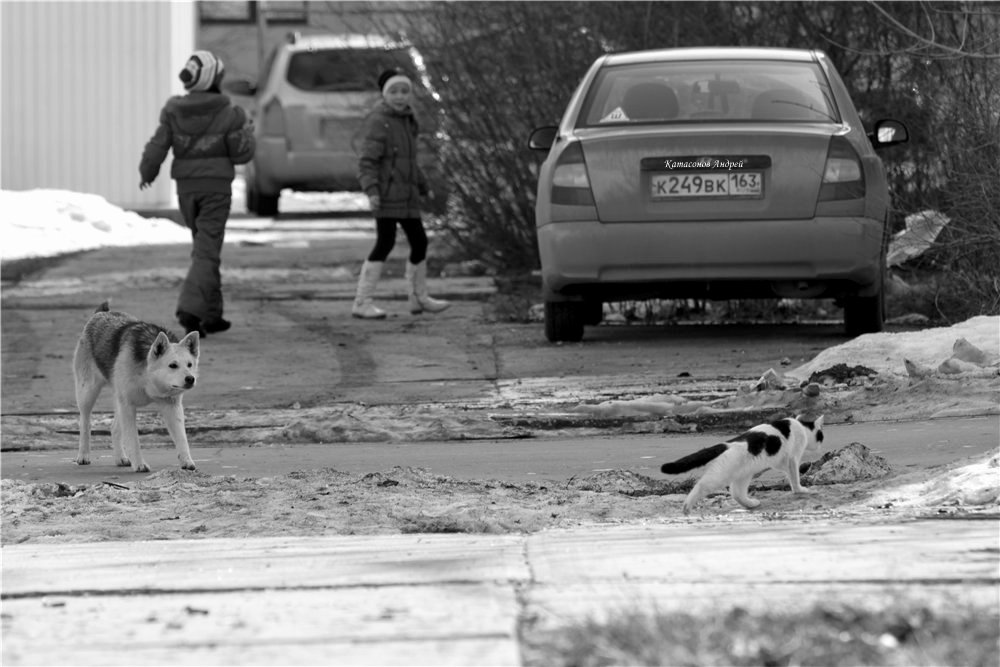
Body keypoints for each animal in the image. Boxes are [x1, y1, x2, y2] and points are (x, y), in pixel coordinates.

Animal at [73, 302, 199, 474]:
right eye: (172, 365)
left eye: (189, 364)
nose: (190, 379)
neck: (147, 375)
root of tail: (100, 314)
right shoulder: (128, 405)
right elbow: (133, 439)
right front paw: (139, 464)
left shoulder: (172, 406)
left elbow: (181, 438)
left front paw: (187, 461)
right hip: (88, 392)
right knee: (85, 422)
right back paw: (83, 455)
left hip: (117, 399)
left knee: (114, 428)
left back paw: (120, 458)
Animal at [660, 414, 824, 516]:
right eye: (821, 436)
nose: (821, 445)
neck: (802, 427)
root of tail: (729, 443)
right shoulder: (793, 459)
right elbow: (795, 478)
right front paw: (801, 490)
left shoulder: (781, 461)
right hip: (721, 475)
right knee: (702, 485)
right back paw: (687, 507)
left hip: (743, 474)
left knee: (736, 493)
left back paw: (751, 504)